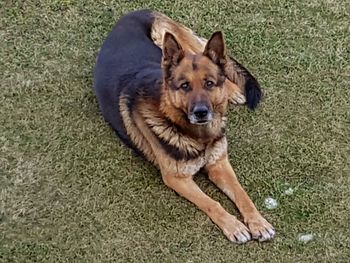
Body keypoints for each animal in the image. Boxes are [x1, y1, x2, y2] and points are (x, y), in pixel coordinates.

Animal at [94, 9, 274, 244]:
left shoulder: (219, 163)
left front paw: (258, 222)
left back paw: (233, 91)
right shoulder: (177, 179)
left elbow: (242, 194)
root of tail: (138, 11)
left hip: (176, 44)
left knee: (221, 66)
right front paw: (234, 226)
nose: (201, 113)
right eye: (185, 86)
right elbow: (211, 203)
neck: (197, 136)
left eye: (209, 83)